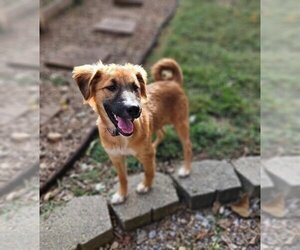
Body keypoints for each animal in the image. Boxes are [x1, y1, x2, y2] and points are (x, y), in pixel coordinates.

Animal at [72, 59, 192, 205]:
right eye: (111, 87)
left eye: (135, 88)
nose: (135, 109)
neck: (120, 136)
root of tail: (173, 82)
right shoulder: (116, 157)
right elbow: (122, 178)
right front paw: (122, 195)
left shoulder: (146, 155)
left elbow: (149, 171)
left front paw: (146, 186)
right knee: (162, 134)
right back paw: (155, 146)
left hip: (181, 123)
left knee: (187, 145)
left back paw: (186, 169)